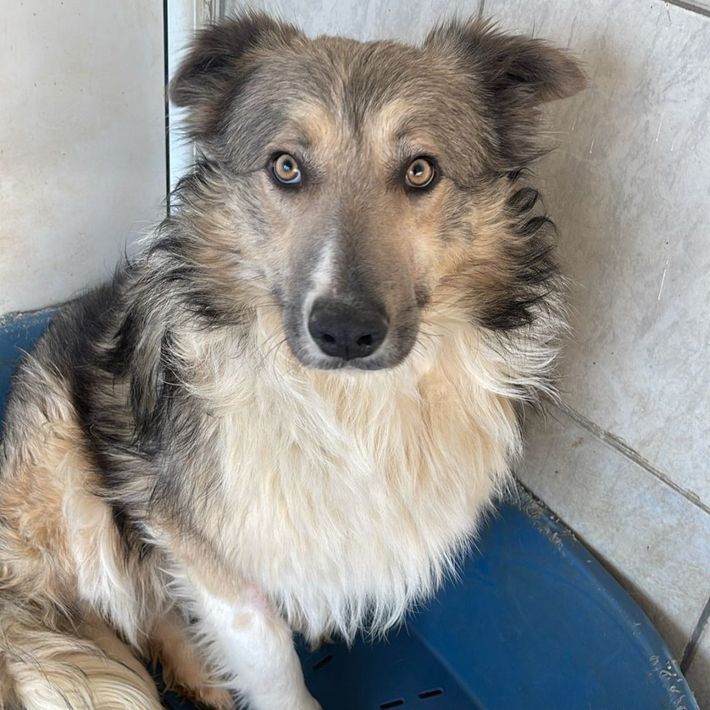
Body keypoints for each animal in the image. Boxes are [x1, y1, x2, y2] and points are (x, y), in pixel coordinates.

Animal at [0, 12, 584, 709]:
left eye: (420, 170)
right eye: (286, 167)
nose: (345, 332)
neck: (351, 405)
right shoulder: (208, 549)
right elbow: (272, 661)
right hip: (68, 485)